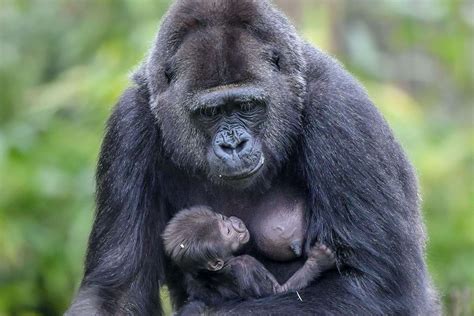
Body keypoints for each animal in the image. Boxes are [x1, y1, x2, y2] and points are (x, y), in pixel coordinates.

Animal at [161, 207, 336, 308]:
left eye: (222, 217)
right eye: (227, 232)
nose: (236, 222)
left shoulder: (192, 280)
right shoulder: (247, 265)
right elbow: (279, 291)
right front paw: (319, 261)